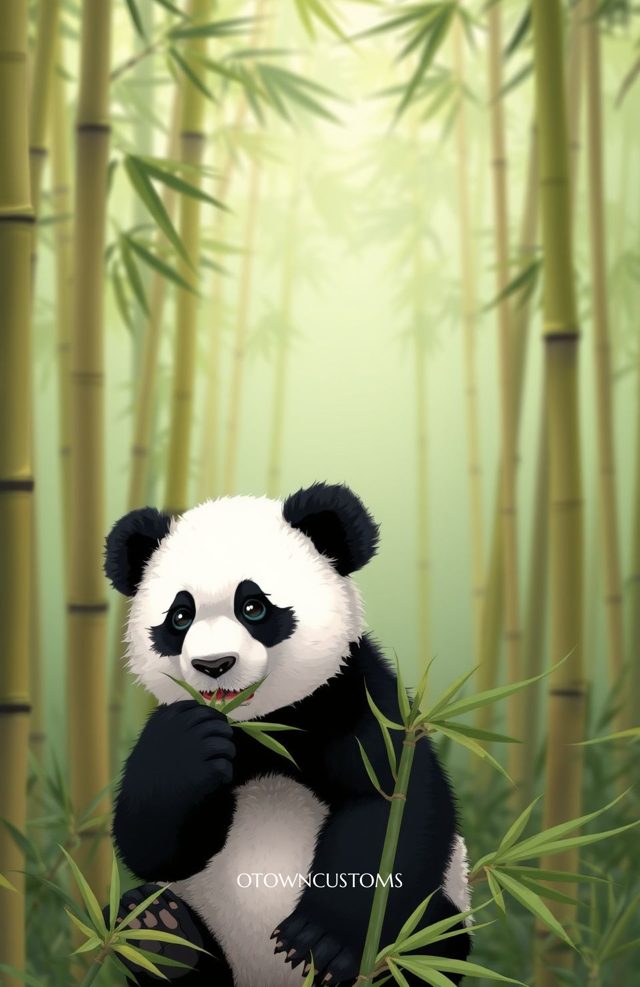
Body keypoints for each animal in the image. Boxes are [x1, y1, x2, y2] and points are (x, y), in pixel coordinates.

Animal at [104, 482, 472, 987]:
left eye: (253, 607)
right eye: (180, 617)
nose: (213, 665)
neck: (261, 725)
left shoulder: (357, 701)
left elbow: (391, 807)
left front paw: (322, 942)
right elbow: (156, 846)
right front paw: (187, 745)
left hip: (432, 922)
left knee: (427, 945)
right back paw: (160, 934)